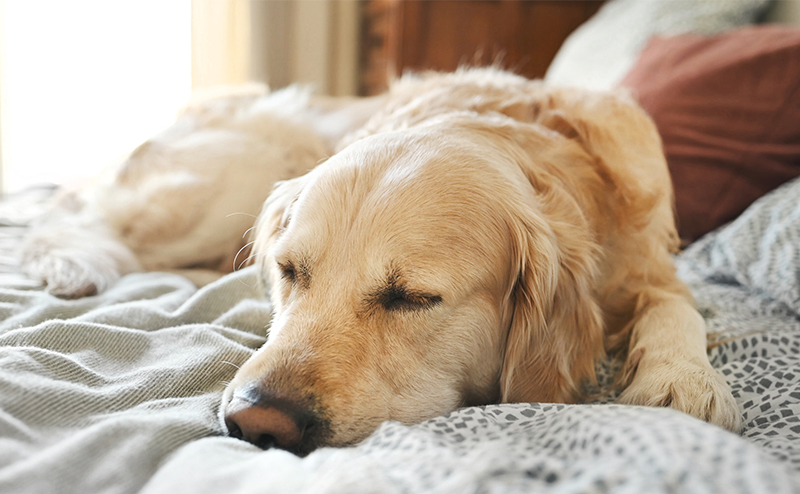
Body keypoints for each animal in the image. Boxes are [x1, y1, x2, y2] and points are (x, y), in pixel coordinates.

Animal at [21, 68, 740, 456]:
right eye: (292, 272)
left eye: (412, 298)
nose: (256, 422)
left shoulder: (650, 264)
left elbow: (677, 304)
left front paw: (682, 378)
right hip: (233, 173)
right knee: (76, 216)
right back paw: (78, 265)